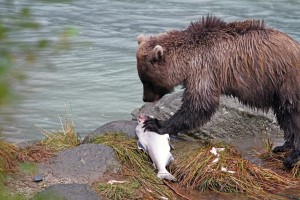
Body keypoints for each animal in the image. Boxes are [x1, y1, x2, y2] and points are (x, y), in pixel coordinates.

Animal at [136, 15, 300, 169]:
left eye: (147, 80)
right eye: (142, 78)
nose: (145, 98)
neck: (187, 61)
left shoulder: (204, 68)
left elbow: (200, 104)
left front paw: (155, 124)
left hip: (286, 81)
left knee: (291, 114)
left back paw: (291, 157)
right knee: (284, 115)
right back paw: (283, 146)